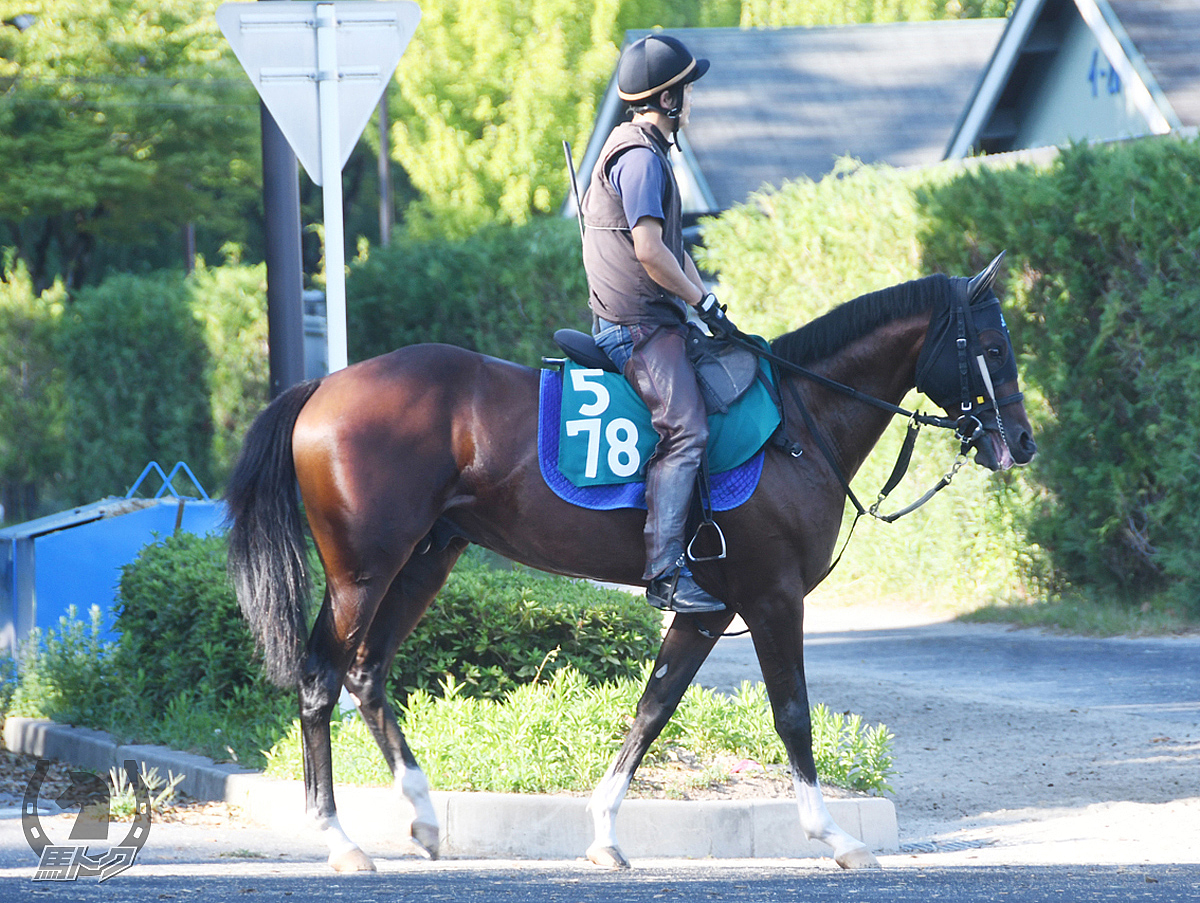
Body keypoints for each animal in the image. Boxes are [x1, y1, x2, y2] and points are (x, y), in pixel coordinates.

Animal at [229, 252, 1036, 869]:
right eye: (994, 348)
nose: (1023, 442)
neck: (799, 422)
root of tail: (324, 385)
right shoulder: (773, 597)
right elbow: (792, 715)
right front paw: (833, 836)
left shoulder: (710, 610)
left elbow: (653, 709)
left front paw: (605, 835)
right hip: (363, 572)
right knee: (319, 676)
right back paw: (339, 839)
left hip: (426, 560)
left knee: (367, 673)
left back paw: (424, 816)